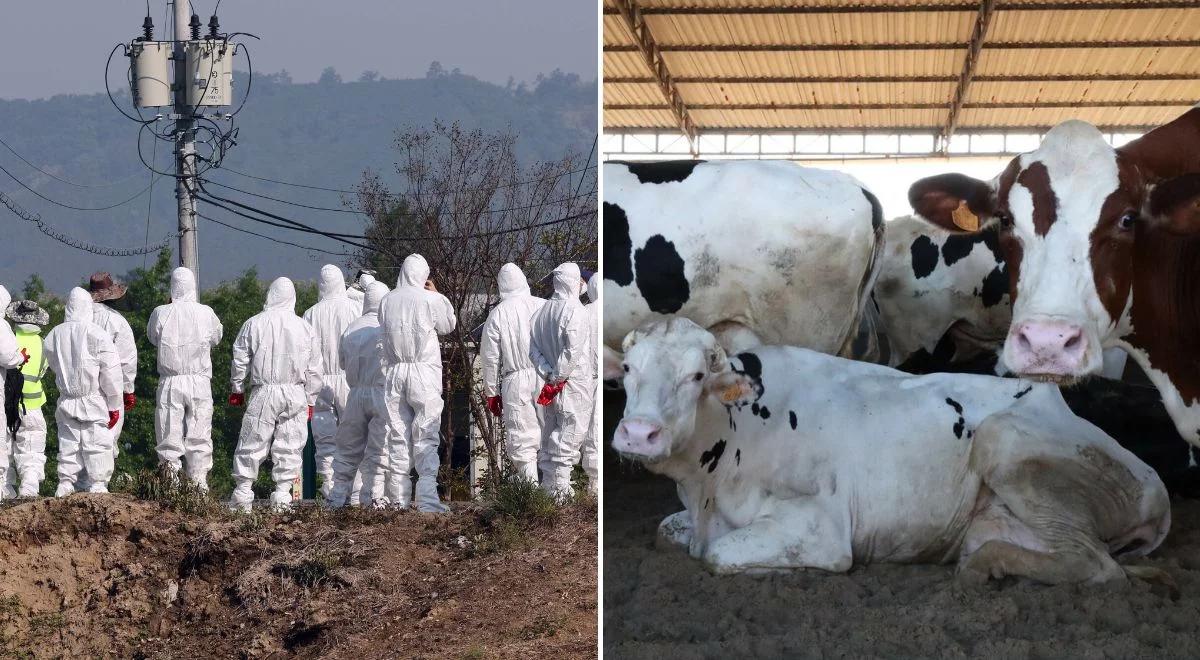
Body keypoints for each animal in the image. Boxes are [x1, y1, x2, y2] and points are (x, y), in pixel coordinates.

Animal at [604, 319, 1166, 585]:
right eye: (628, 369)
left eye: (697, 375)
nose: (637, 433)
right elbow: (666, 532)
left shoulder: (820, 528)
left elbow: (719, 557)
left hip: (1006, 443)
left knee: (1098, 565)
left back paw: (985, 568)